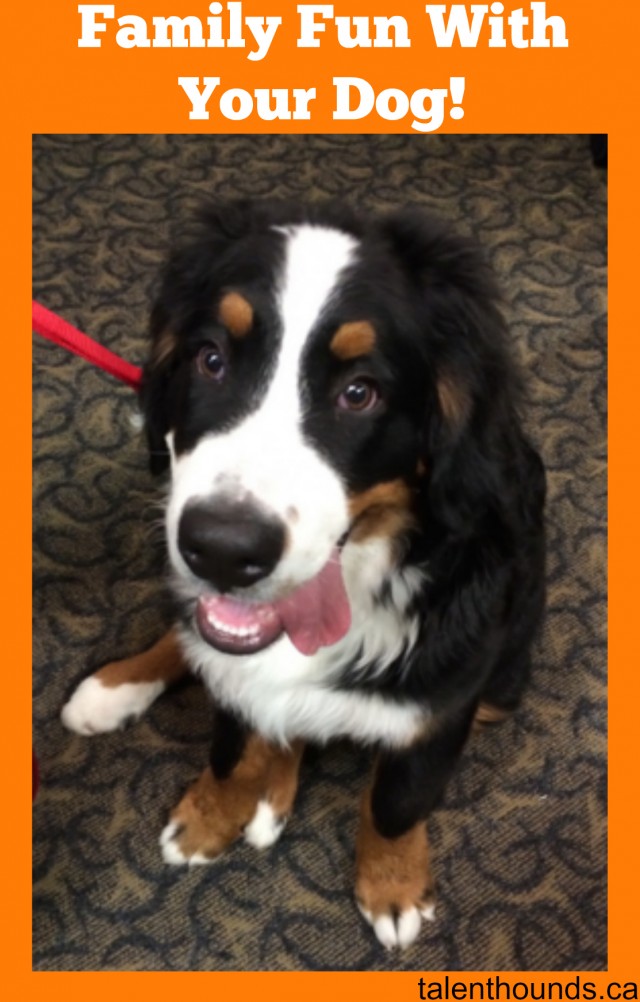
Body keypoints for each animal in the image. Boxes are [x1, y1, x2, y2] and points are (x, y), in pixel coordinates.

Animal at [62, 201, 544, 945]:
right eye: (210, 359)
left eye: (360, 393)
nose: (221, 549)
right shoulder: (229, 658)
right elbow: (231, 745)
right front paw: (212, 813)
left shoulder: (444, 702)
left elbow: (397, 801)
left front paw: (393, 887)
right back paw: (117, 690)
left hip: (504, 679)